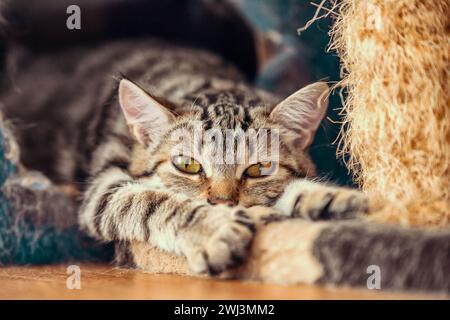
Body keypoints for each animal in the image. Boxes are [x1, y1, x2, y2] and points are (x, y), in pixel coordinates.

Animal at [0, 39, 370, 276]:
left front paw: (331, 200)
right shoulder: (103, 188)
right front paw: (215, 228)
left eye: (259, 168)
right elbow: (151, 201)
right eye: (188, 165)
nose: (222, 202)